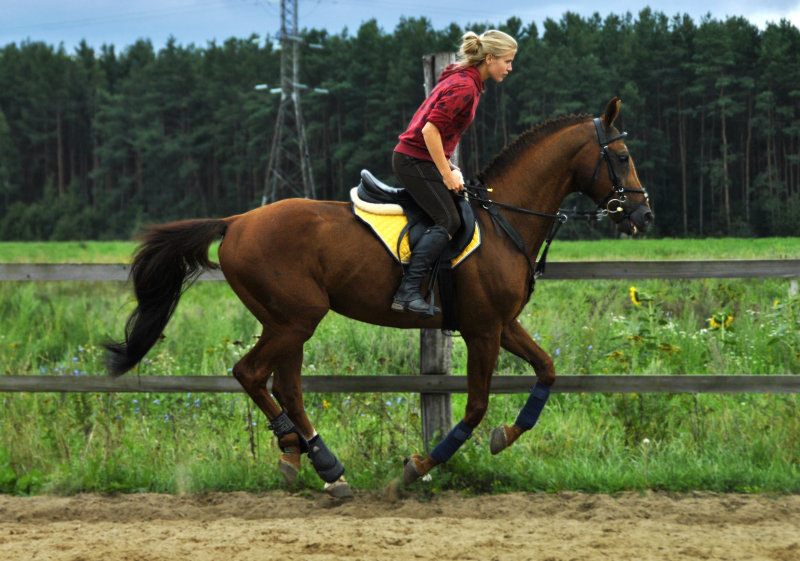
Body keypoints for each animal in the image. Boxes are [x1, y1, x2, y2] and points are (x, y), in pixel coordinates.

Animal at [104, 96, 648, 494]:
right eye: (621, 157)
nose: (643, 215)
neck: (504, 222)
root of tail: (235, 221)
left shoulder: (503, 324)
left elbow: (547, 370)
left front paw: (507, 435)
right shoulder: (483, 330)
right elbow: (474, 407)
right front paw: (417, 468)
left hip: (286, 322)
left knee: (284, 385)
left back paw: (310, 460)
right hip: (296, 318)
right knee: (251, 373)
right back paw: (320, 461)